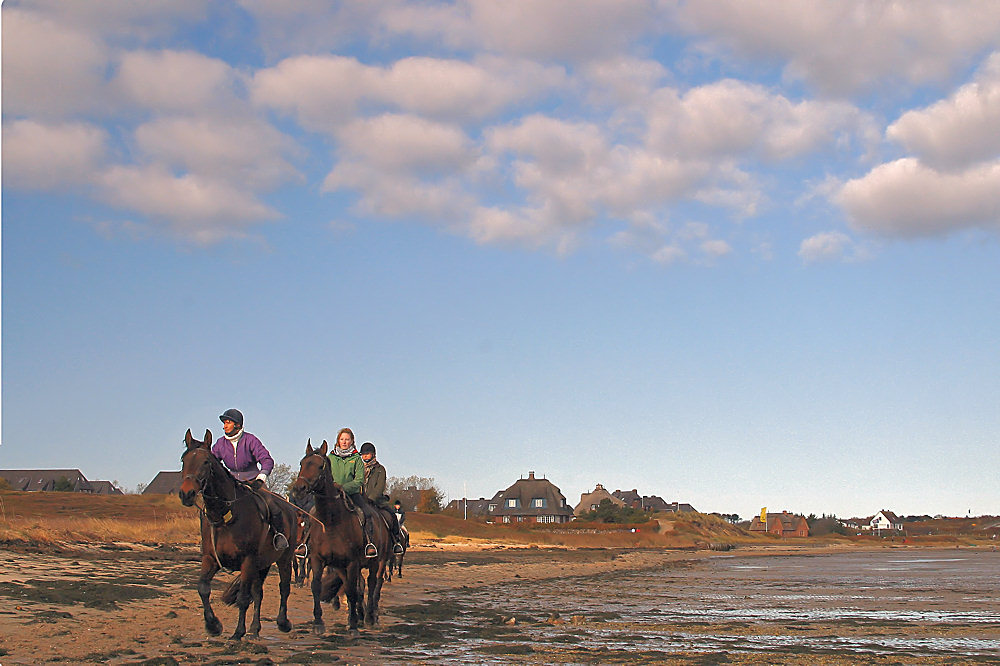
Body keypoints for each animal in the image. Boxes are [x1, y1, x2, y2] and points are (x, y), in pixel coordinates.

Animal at [179, 428, 296, 640]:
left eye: (206, 461)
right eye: (184, 460)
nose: (186, 494)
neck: (225, 515)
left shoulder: (247, 561)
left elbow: (242, 598)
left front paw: (237, 633)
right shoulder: (211, 558)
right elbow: (203, 589)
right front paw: (213, 625)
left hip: (284, 558)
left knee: (284, 588)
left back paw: (283, 623)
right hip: (263, 564)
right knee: (258, 593)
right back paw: (255, 629)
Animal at [290, 438, 390, 632]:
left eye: (320, 466)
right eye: (302, 463)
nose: (299, 488)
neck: (331, 522)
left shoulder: (352, 562)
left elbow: (352, 590)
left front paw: (353, 625)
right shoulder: (320, 560)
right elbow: (317, 586)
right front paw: (318, 622)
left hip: (377, 561)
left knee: (374, 583)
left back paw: (370, 616)